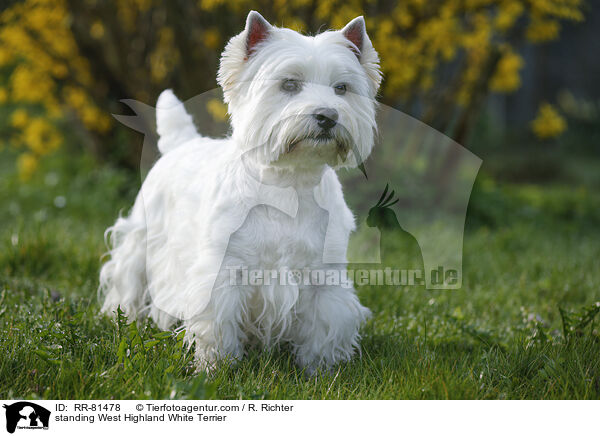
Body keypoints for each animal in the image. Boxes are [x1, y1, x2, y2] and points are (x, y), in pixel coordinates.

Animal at [98, 11, 380, 374]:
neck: (289, 185)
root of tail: (183, 143)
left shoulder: (324, 276)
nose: (327, 116)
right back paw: (120, 318)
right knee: (128, 279)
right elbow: (217, 322)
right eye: (289, 84)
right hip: (142, 237)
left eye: (341, 88)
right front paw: (216, 367)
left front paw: (319, 369)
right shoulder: (224, 270)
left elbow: (324, 323)